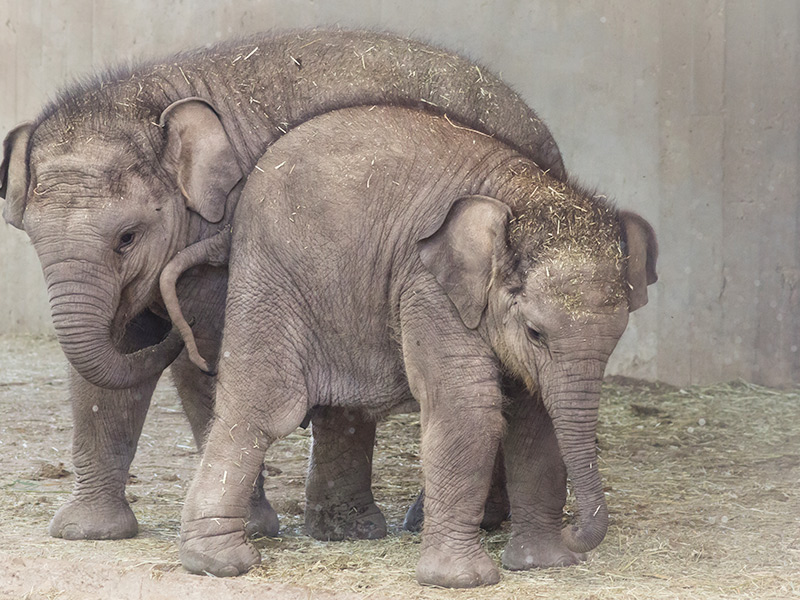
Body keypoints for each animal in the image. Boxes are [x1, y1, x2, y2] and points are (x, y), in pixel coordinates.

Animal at [162, 105, 656, 588]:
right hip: (270, 277)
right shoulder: (429, 287)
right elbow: (468, 408)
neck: (523, 194)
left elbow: (537, 418)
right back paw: (220, 563)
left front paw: (544, 565)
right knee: (263, 406)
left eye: (617, 336)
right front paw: (462, 581)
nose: (575, 533)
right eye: (535, 332)